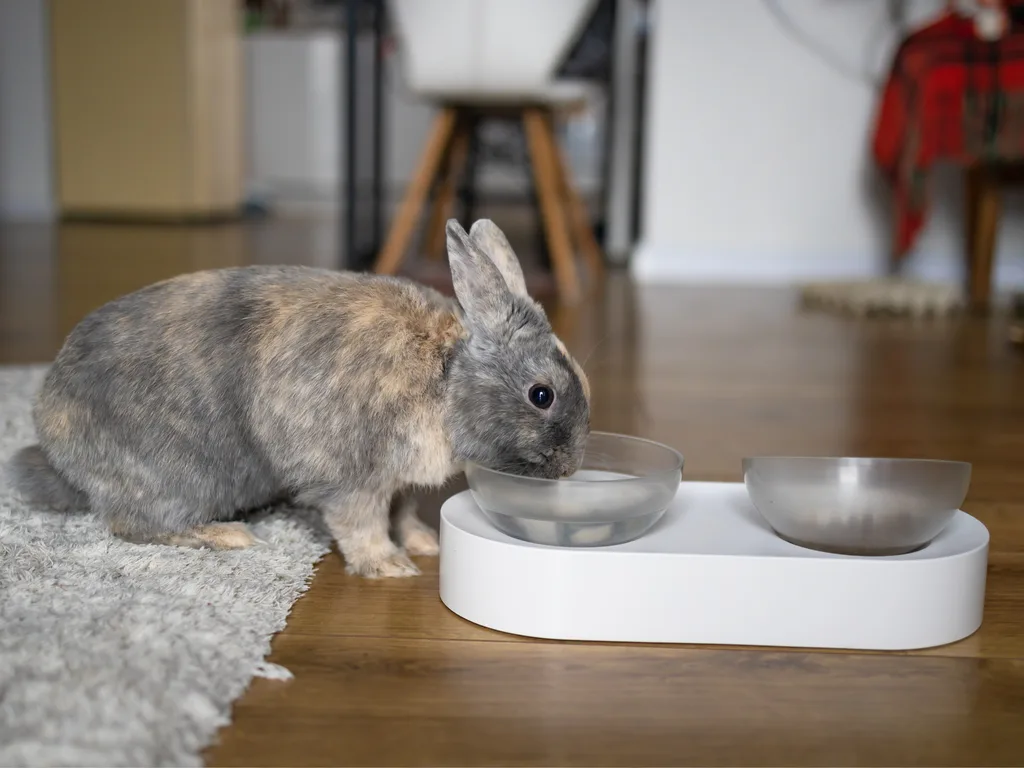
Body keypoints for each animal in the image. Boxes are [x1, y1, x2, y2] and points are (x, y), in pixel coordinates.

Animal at [7, 219, 592, 577]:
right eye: (542, 395)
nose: (569, 468)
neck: (445, 377)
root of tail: (52, 438)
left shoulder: (399, 482)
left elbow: (402, 513)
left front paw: (423, 543)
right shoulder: (355, 479)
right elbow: (362, 524)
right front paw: (388, 567)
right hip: (178, 477)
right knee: (131, 524)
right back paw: (227, 537)